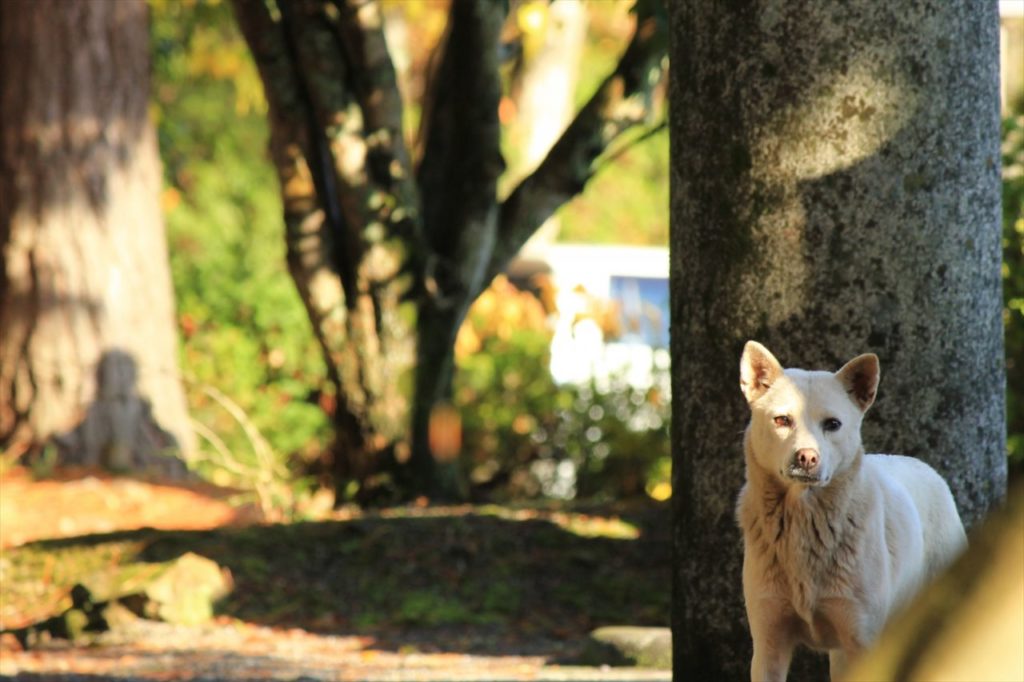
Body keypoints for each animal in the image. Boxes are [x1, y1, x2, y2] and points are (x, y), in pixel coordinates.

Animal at [737, 342, 966, 675]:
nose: (807, 458)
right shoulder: (769, 644)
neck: (804, 522)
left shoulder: (862, 639)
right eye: (782, 420)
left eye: (832, 424)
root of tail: (925, 468)